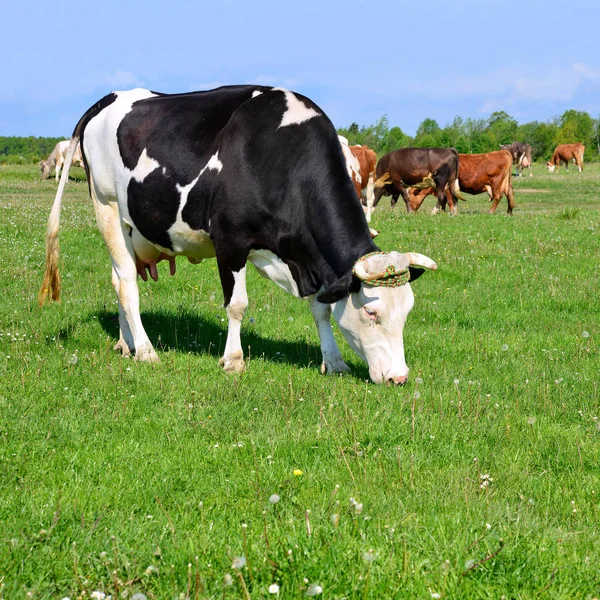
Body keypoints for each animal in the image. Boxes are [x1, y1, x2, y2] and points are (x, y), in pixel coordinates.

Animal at [41, 85, 436, 384]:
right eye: (371, 313)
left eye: (408, 310)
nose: (399, 377)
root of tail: (111, 97)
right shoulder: (230, 241)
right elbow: (237, 304)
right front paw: (233, 359)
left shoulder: (306, 255)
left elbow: (321, 309)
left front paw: (334, 361)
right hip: (106, 207)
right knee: (127, 284)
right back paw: (147, 351)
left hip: (131, 229)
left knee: (118, 280)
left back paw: (127, 345)